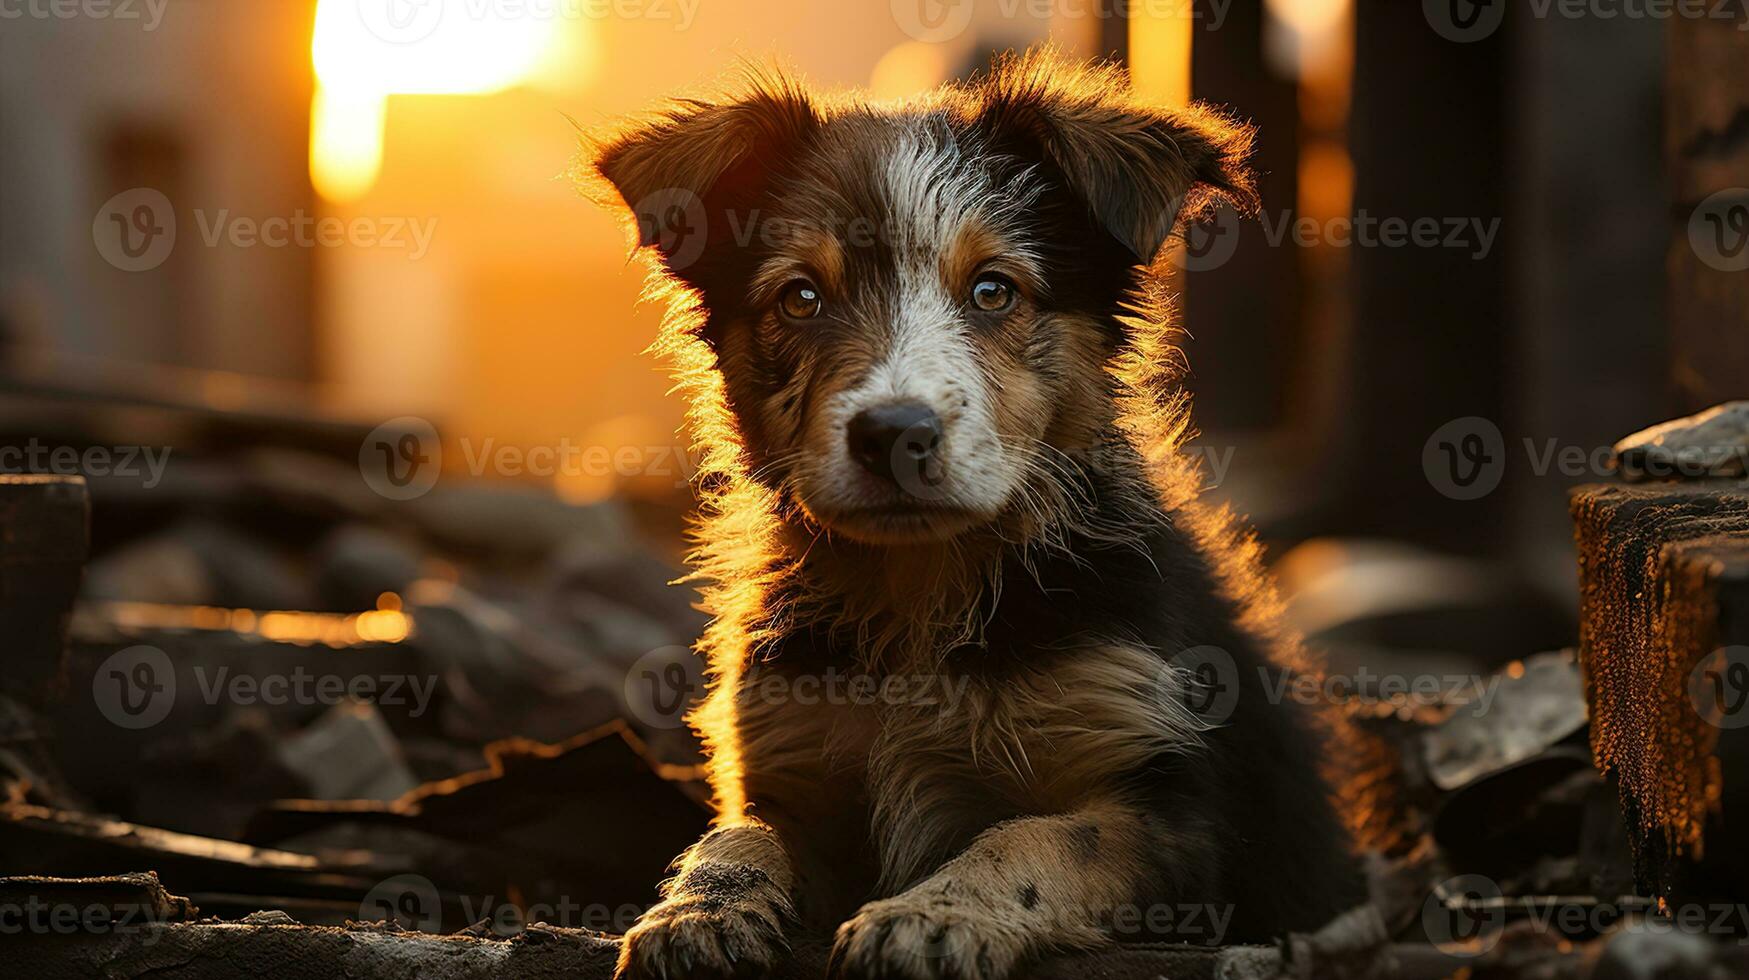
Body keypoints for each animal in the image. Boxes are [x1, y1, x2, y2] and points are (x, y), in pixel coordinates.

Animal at [584, 51, 1350, 980]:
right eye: (800, 298)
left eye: (993, 291)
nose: (892, 432)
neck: (921, 587)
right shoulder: (790, 762)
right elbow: (734, 836)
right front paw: (697, 911)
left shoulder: (1170, 822)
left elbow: (1036, 837)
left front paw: (932, 915)